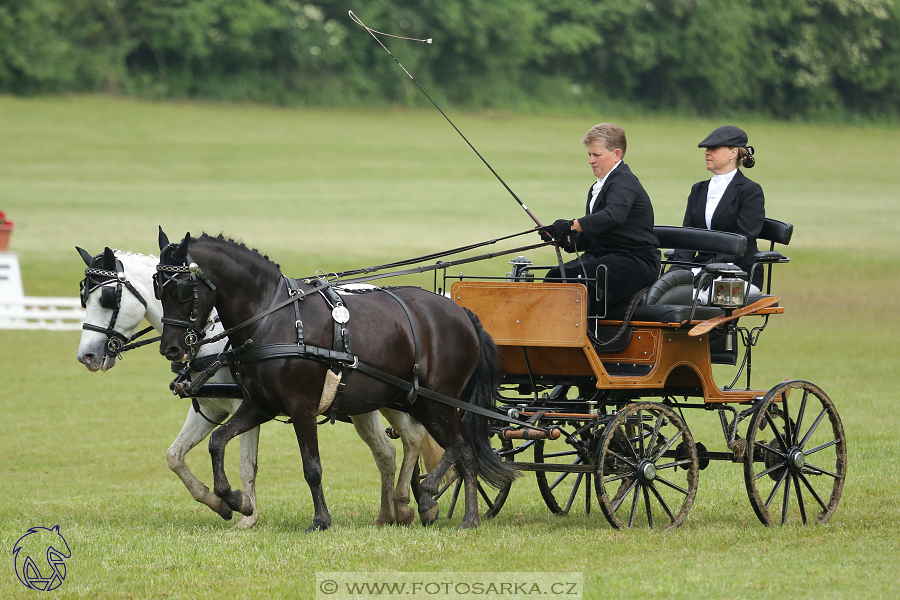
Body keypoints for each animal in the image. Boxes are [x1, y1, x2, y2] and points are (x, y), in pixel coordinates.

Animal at [158, 230, 516, 528]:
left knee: (458, 445)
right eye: (157, 288)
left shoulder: (301, 407)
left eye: (181, 289)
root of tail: (462, 313)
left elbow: (311, 467)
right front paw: (235, 501)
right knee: (459, 450)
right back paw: (461, 516)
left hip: (438, 402)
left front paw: (321, 520)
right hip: (415, 402)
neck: (273, 319)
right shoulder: (259, 405)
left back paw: (433, 498)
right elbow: (218, 442)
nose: (170, 348)